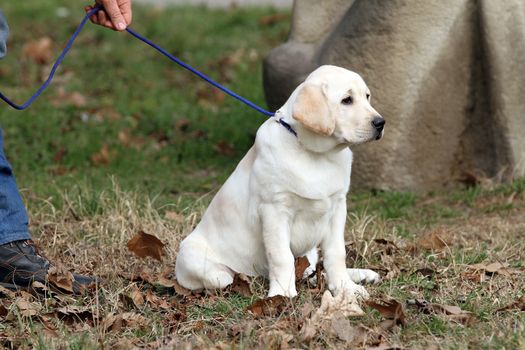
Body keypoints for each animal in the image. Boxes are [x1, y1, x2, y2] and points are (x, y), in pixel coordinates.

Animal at [174, 65, 382, 298]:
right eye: (347, 100)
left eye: (367, 96)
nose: (381, 123)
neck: (316, 154)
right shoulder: (275, 210)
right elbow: (282, 257)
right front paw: (282, 294)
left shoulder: (337, 207)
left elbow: (336, 253)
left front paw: (346, 287)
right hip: (195, 260)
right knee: (226, 276)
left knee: (311, 270)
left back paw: (361, 274)